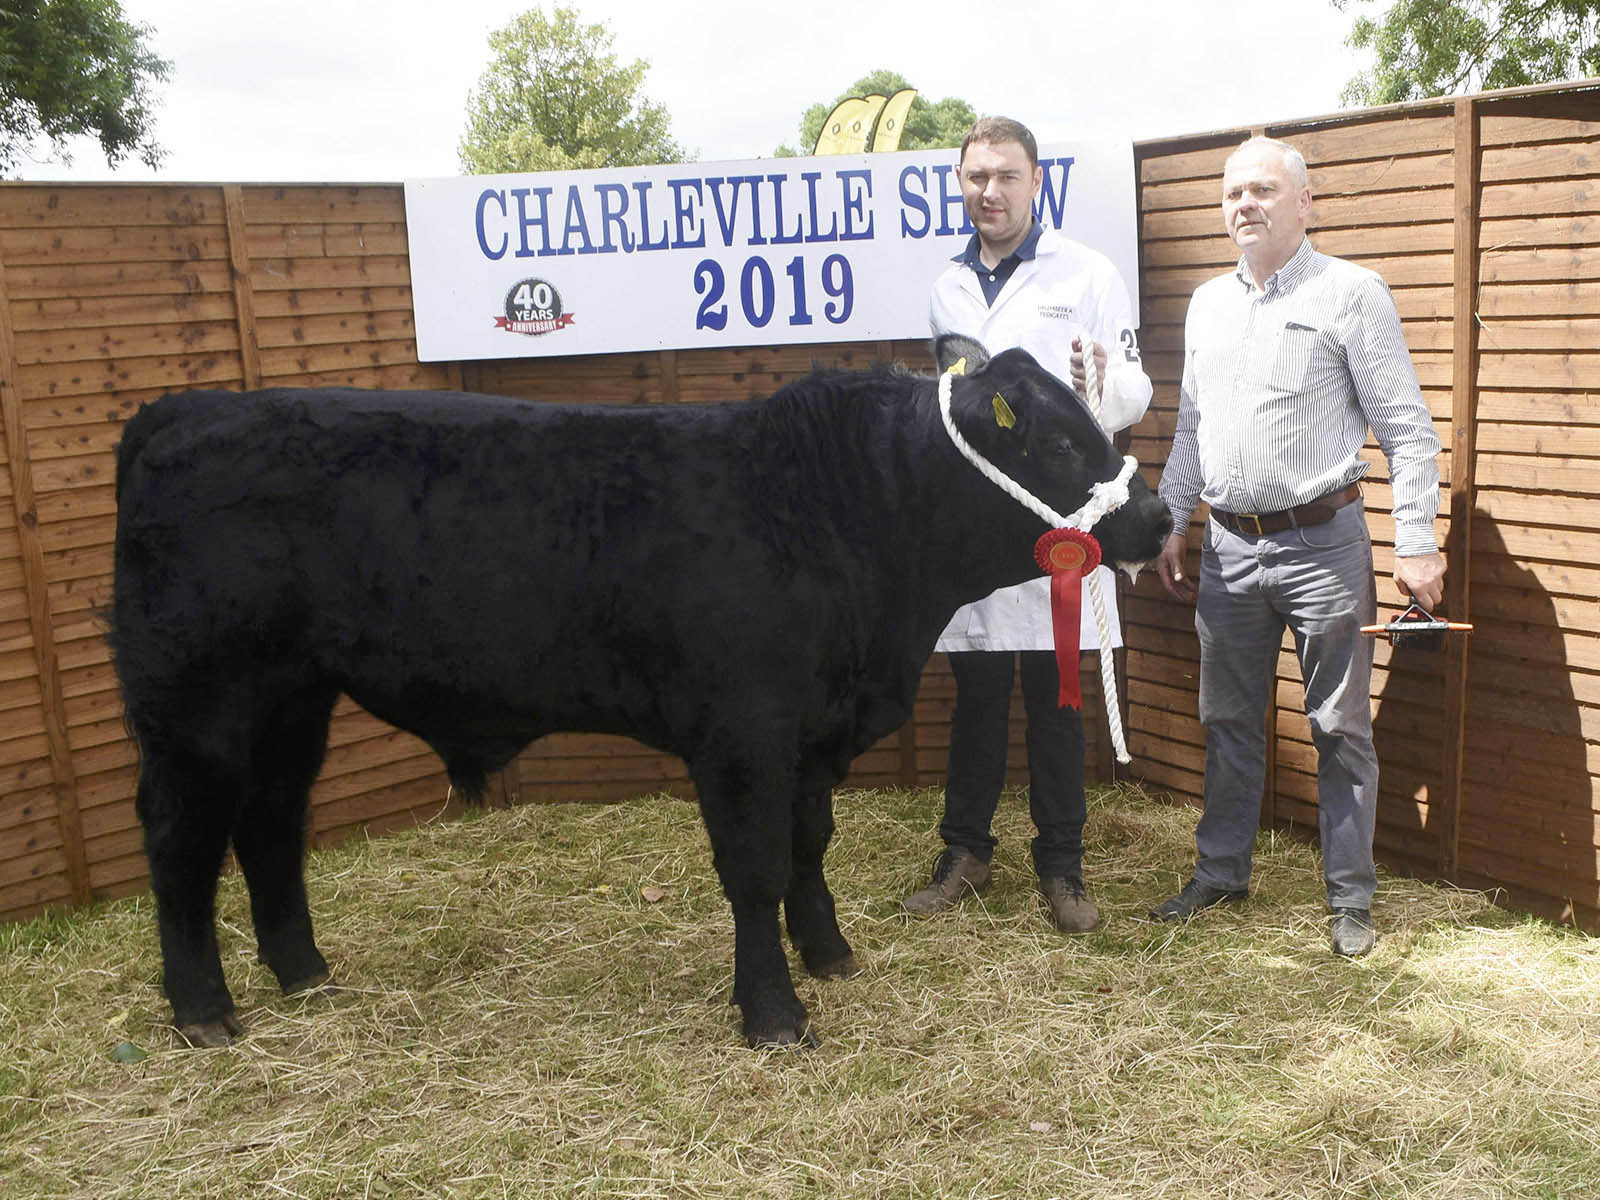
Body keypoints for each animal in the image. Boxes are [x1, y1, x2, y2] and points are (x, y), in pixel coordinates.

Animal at [110, 335, 1172, 1049]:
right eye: (1061, 445)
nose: (1159, 517)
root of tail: (182, 411)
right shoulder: (742, 732)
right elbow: (754, 868)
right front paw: (773, 1012)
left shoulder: (812, 733)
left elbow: (807, 848)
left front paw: (829, 955)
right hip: (197, 704)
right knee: (181, 838)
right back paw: (205, 1012)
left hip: (293, 699)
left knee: (271, 825)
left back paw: (306, 975)